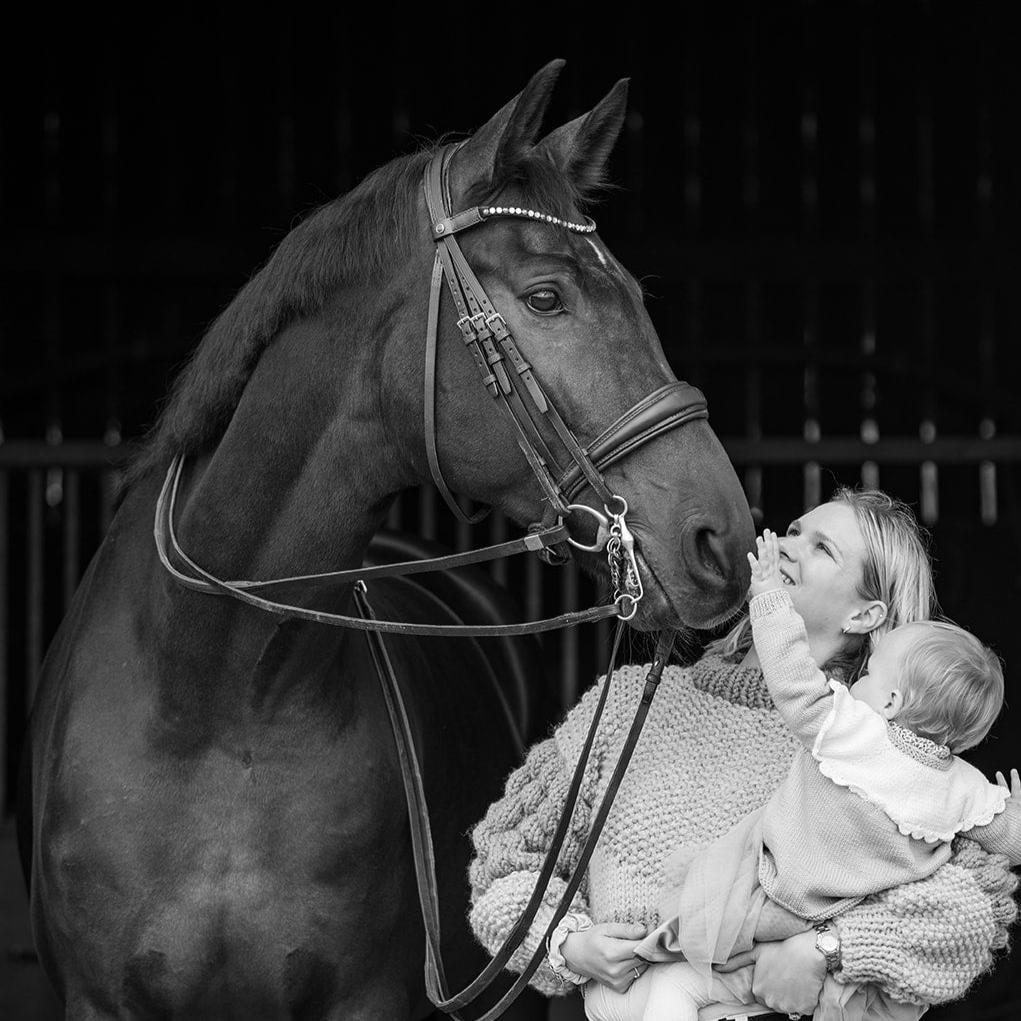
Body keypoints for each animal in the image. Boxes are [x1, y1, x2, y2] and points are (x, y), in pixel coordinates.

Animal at [19, 65, 755, 1021]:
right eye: (546, 297)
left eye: (631, 289)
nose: (719, 540)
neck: (218, 695)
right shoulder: (96, 1000)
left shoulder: (366, 998)